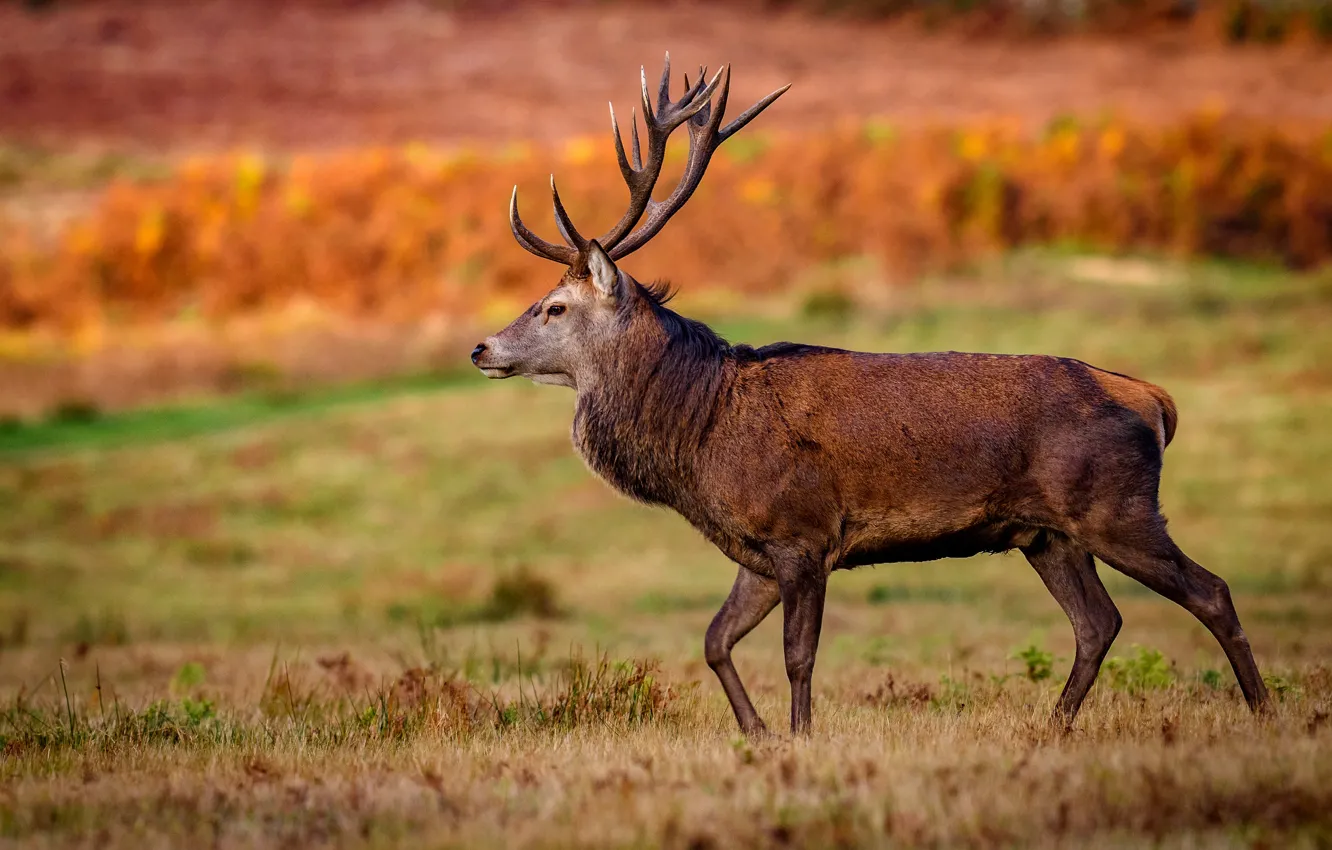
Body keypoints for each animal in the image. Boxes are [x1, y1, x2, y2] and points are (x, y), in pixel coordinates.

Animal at [470, 55, 1270, 736]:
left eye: (553, 308)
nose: (480, 348)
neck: (699, 434)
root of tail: (1153, 400)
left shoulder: (803, 532)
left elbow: (798, 655)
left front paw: (799, 736)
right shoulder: (756, 551)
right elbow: (713, 640)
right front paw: (757, 733)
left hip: (1116, 507)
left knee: (1210, 591)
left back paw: (1263, 710)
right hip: (1048, 534)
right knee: (1098, 622)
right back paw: (1052, 726)